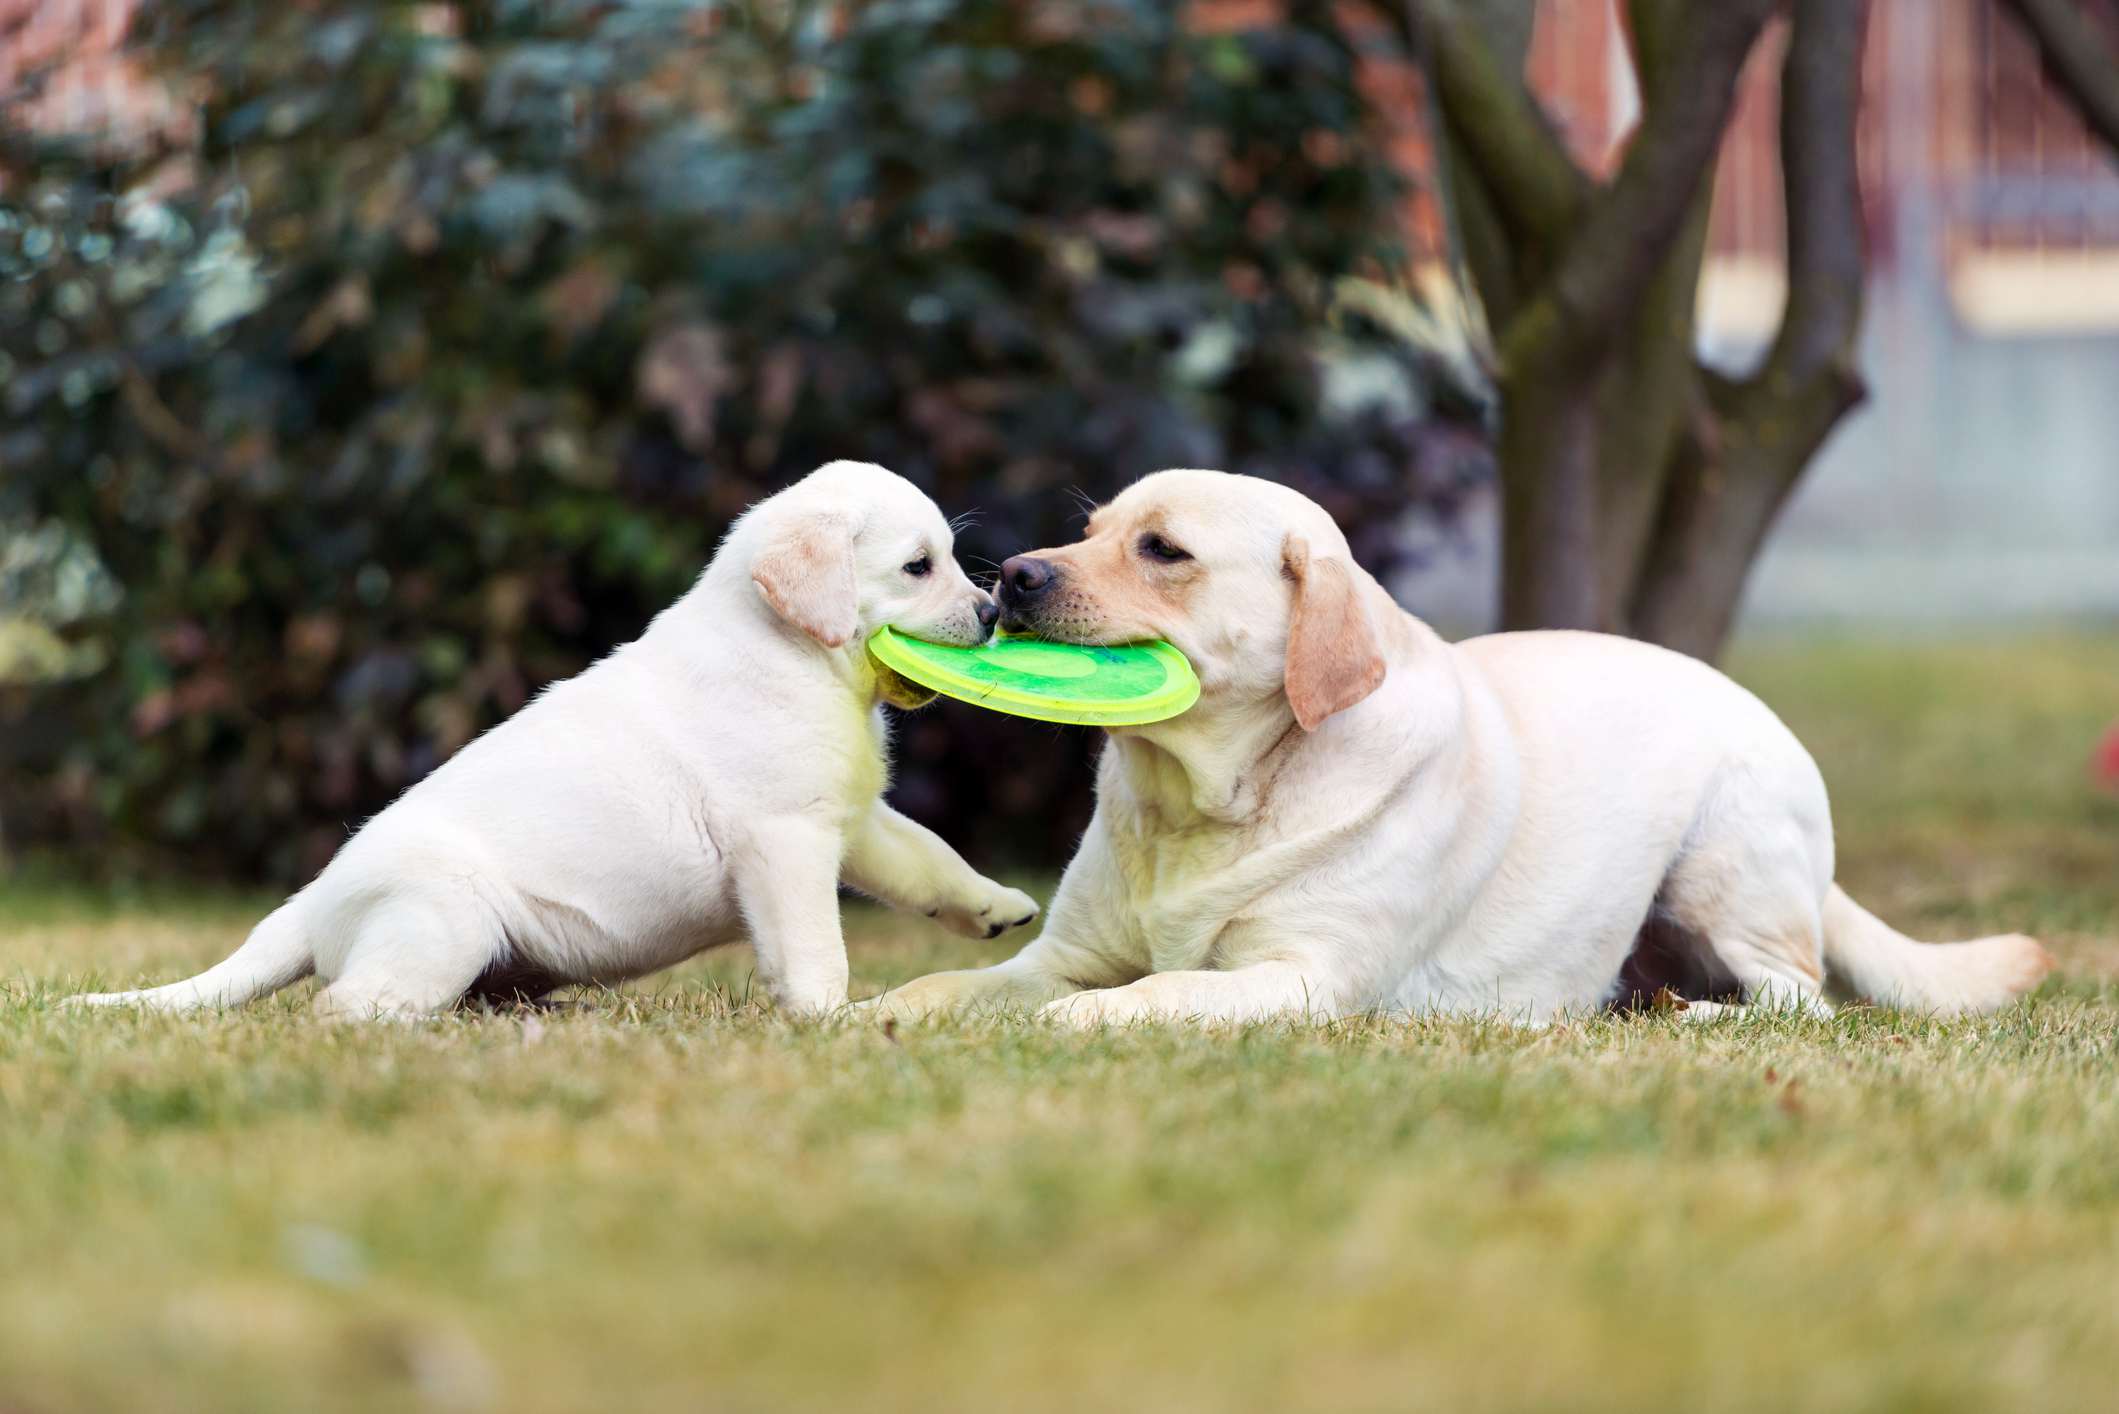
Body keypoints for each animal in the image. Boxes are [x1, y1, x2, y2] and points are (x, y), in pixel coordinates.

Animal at [868, 470, 2042, 1021]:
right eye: (1091, 528)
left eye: (1162, 550)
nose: (1014, 575)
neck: (1205, 801)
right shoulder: (1056, 957)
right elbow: (942, 991)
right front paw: (870, 1015)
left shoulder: (1306, 979)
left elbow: (1153, 994)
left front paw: (1091, 1023)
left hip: (1726, 866)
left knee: (1798, 999)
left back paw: (1694, 1016)